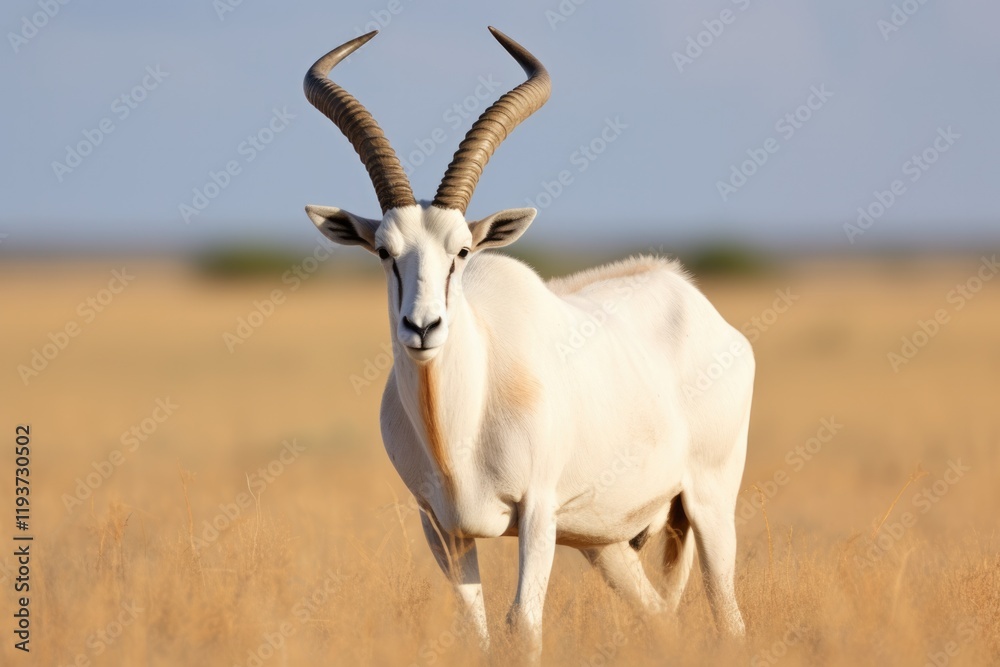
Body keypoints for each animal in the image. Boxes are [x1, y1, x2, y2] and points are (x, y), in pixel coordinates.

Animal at [302, 27, 753, 660]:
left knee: (727, 616)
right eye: (385, 252)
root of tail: (687, 294)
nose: (423, 327)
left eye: (463, 250)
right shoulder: (440, 526)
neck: (458, 427)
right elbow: (477, 631)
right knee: (661, 616)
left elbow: (522, 624)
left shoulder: (538, 512)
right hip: (604, 542)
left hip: (708, 505)